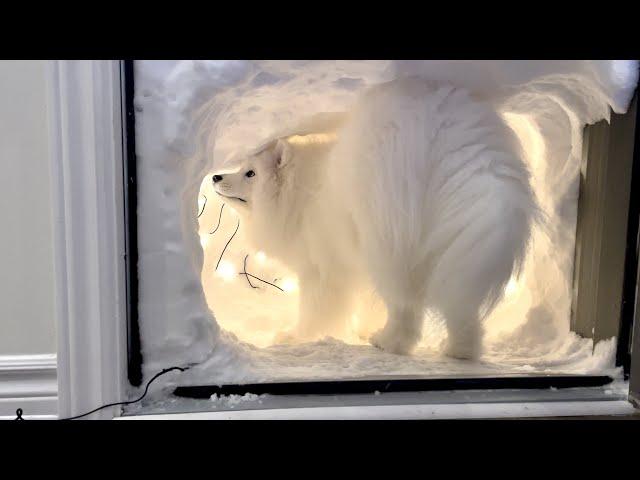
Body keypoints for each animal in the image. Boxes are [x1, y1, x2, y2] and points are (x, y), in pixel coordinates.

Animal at [212, 78, 536, 360]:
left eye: (250, 173)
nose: (215, 176)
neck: (301, 194)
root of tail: (440, 134)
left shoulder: (323, 271)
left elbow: (315, 310)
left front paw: (295, 337)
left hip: (386, 244)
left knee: (406, 305)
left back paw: (390, 342)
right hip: (456, 243)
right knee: (461, 302)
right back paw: (460, 351)